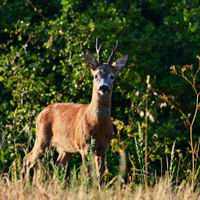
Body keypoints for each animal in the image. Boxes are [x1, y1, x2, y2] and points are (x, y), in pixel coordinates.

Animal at [20, 37, 128, 184]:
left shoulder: (103, 148)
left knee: (57, 166)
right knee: (28, 159)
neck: (98, 125)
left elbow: (100, 178)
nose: (103, 87)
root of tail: (41, 112)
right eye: (95, 76)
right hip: (42, 137)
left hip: (66, 148)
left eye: (112, 76)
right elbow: (88, 176)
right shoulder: (84, 146)